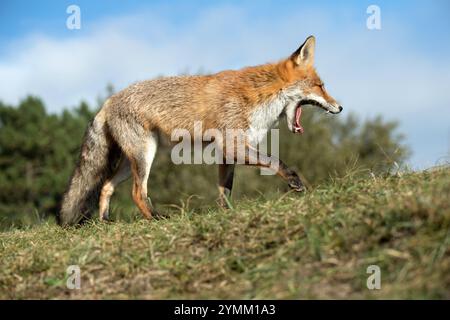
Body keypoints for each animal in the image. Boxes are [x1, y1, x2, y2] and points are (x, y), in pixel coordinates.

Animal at [59, 36, 342, 226]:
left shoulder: (227, 155)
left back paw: (105, 222)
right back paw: (157, 219)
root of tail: (108, 101)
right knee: (137, 193)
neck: (259, 97)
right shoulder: (234, 146)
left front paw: (226, 215)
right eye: (320, 86)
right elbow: (275, 161)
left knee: (107, 186)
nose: (339, 107)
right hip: (144, 156)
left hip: (133, 162)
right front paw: (295, 181)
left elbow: (224, 192)